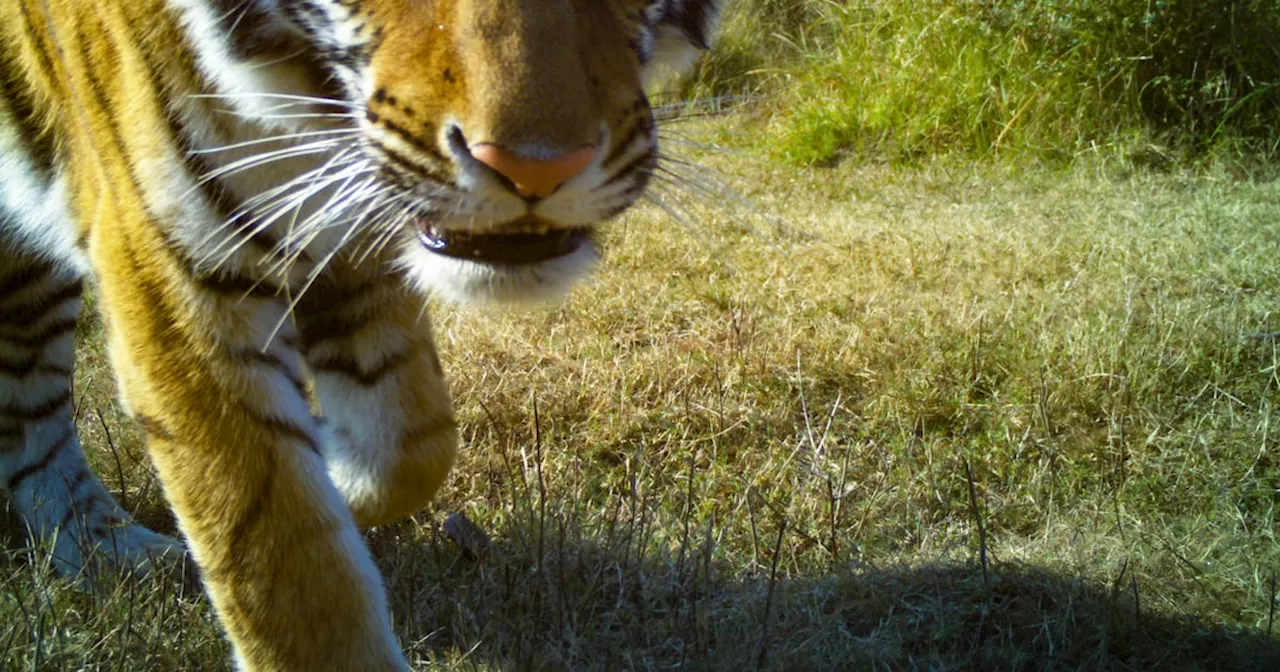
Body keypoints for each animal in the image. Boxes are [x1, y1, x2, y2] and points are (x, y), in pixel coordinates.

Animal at [0, 1, 721, 665]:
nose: (536, 169)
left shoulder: (358, 231)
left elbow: (412, 445)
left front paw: (334, 466)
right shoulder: (168, 264)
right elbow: (277, 550)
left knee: (29, 424)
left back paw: (113, 553)